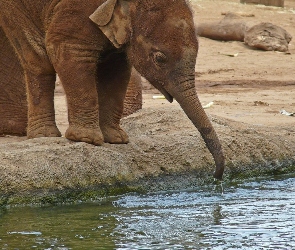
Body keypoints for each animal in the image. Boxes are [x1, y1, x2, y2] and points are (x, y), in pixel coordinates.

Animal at [0, 0, 224, 180]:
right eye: (159, 58)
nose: (216, 176)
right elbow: (65, 50)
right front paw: (87, 140)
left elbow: (116, 69)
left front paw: (116, 140)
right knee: (39, 59)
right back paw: (43, 136)